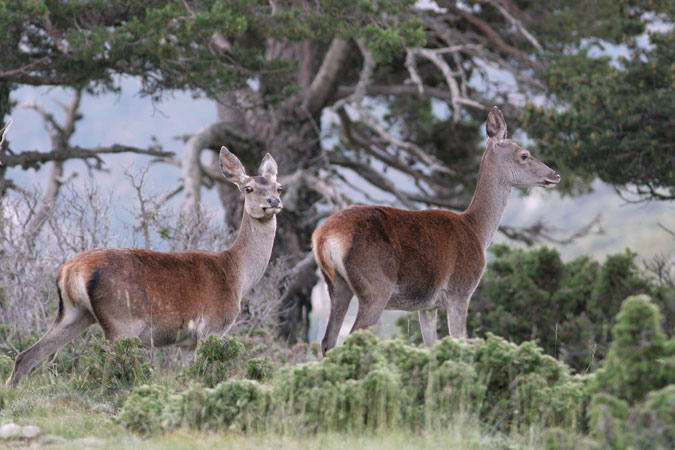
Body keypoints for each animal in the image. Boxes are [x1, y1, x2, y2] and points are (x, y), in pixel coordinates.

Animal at [5, 147, 282, 386]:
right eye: (248, 188)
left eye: (279, 186)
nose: (274, 200)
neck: (237, 275)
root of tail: (69, 271)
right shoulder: (211, 327)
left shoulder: (186, 342)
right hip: (120, 321)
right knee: (105, 369)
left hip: (74, 313)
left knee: (26, 356)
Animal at [314, 106, 564, 356]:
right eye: (525, 154)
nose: (555, 175)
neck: (477, 230)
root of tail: (323, 237)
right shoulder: (460, 292)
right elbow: (460, 341)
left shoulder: (427, 306)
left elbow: (430, 347)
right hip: (375, 286)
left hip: (336, 285)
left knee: (327, 341)